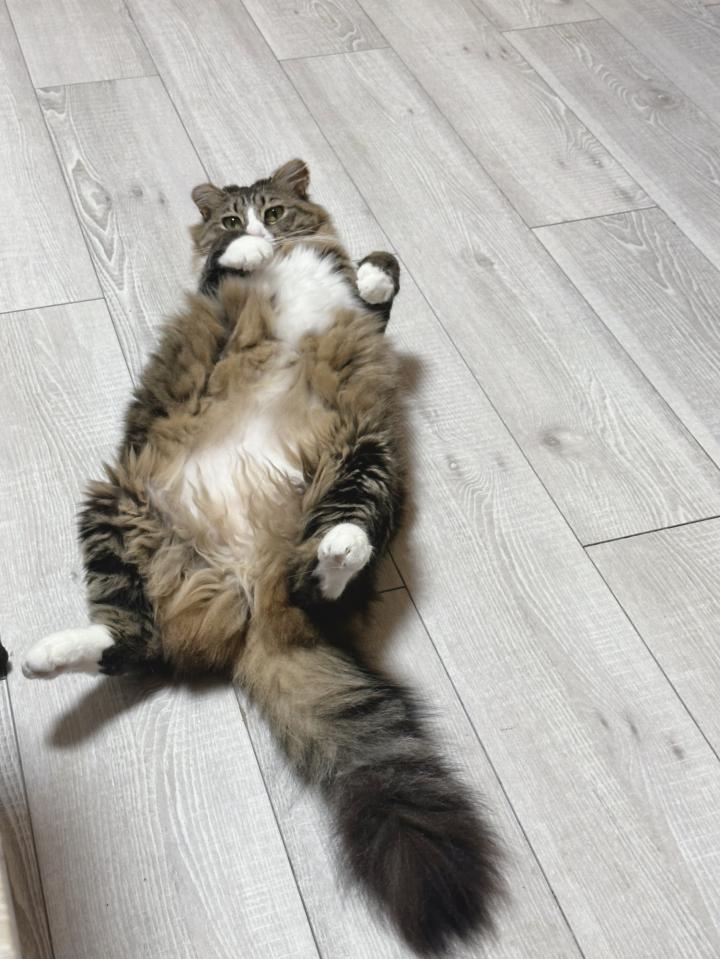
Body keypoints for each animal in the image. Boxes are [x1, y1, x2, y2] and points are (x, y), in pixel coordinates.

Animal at [22, 159, 501, 955]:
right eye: (229, 217)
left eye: (276, 210)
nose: (256, 230)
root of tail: (251, 581)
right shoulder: (212, 285)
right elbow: (224, 268)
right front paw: (249, 255)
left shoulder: (363, 315)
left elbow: (381, 276)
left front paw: (368, 267)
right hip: (117, 505)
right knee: (136, 639)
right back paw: (43, 655)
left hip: (362, 457)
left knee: (288, 589)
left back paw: (338, 545)